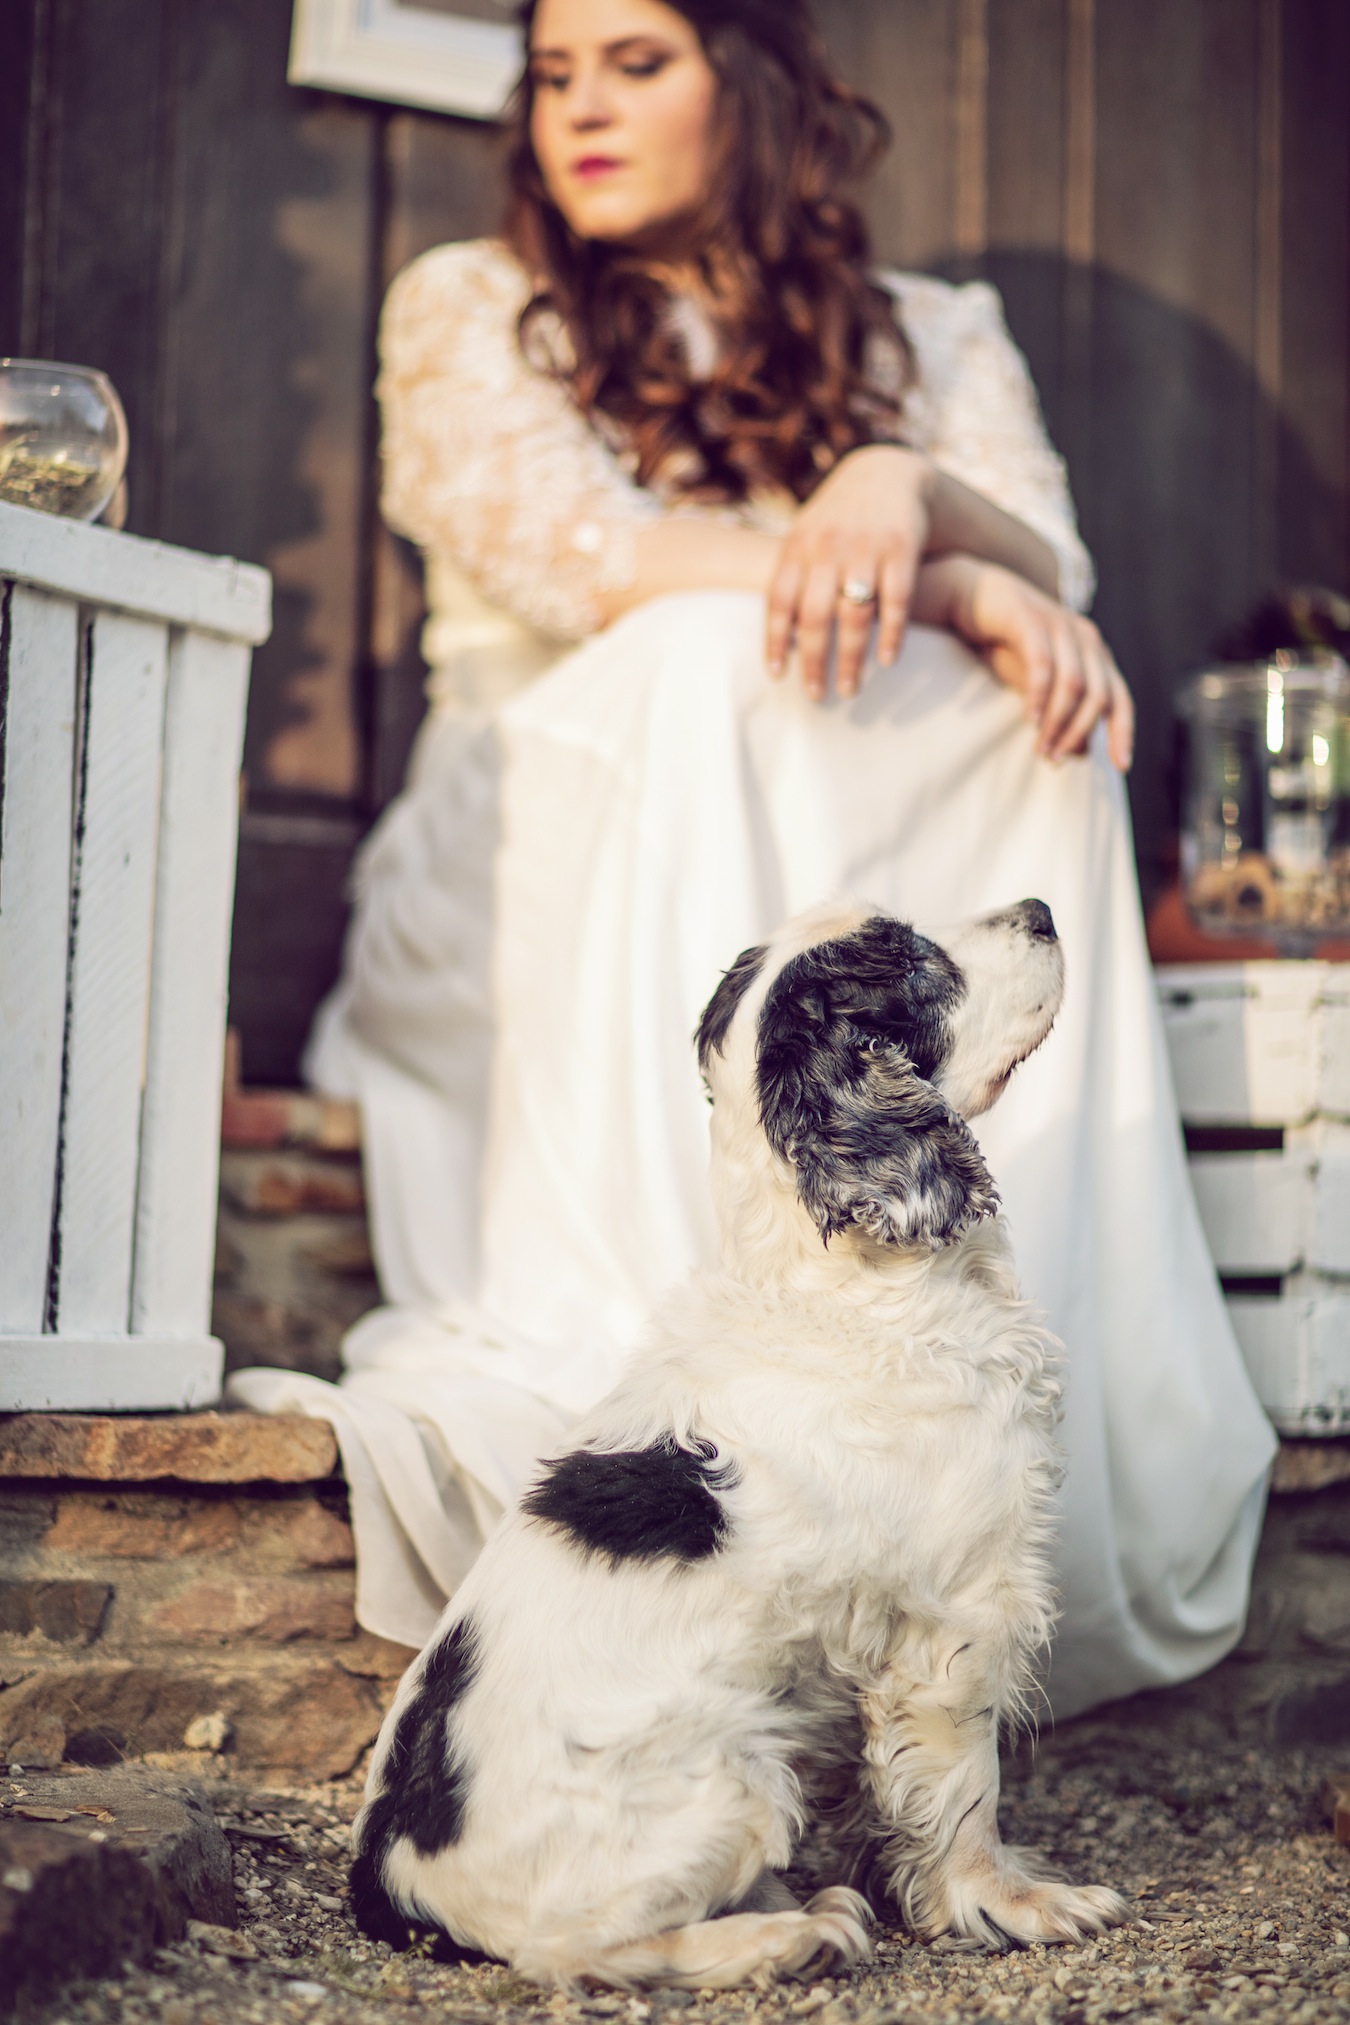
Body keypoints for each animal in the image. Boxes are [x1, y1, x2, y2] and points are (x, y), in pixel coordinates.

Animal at [352, 907, 1133, 1992]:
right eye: (921, 963)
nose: (1041, 911)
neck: (843, 1280)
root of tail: (395, 1876)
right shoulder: (956, 1617)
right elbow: (964, 1792)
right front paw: (1013, 1904)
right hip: (729, 1768)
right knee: (579, 1948)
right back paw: (796, 1929)